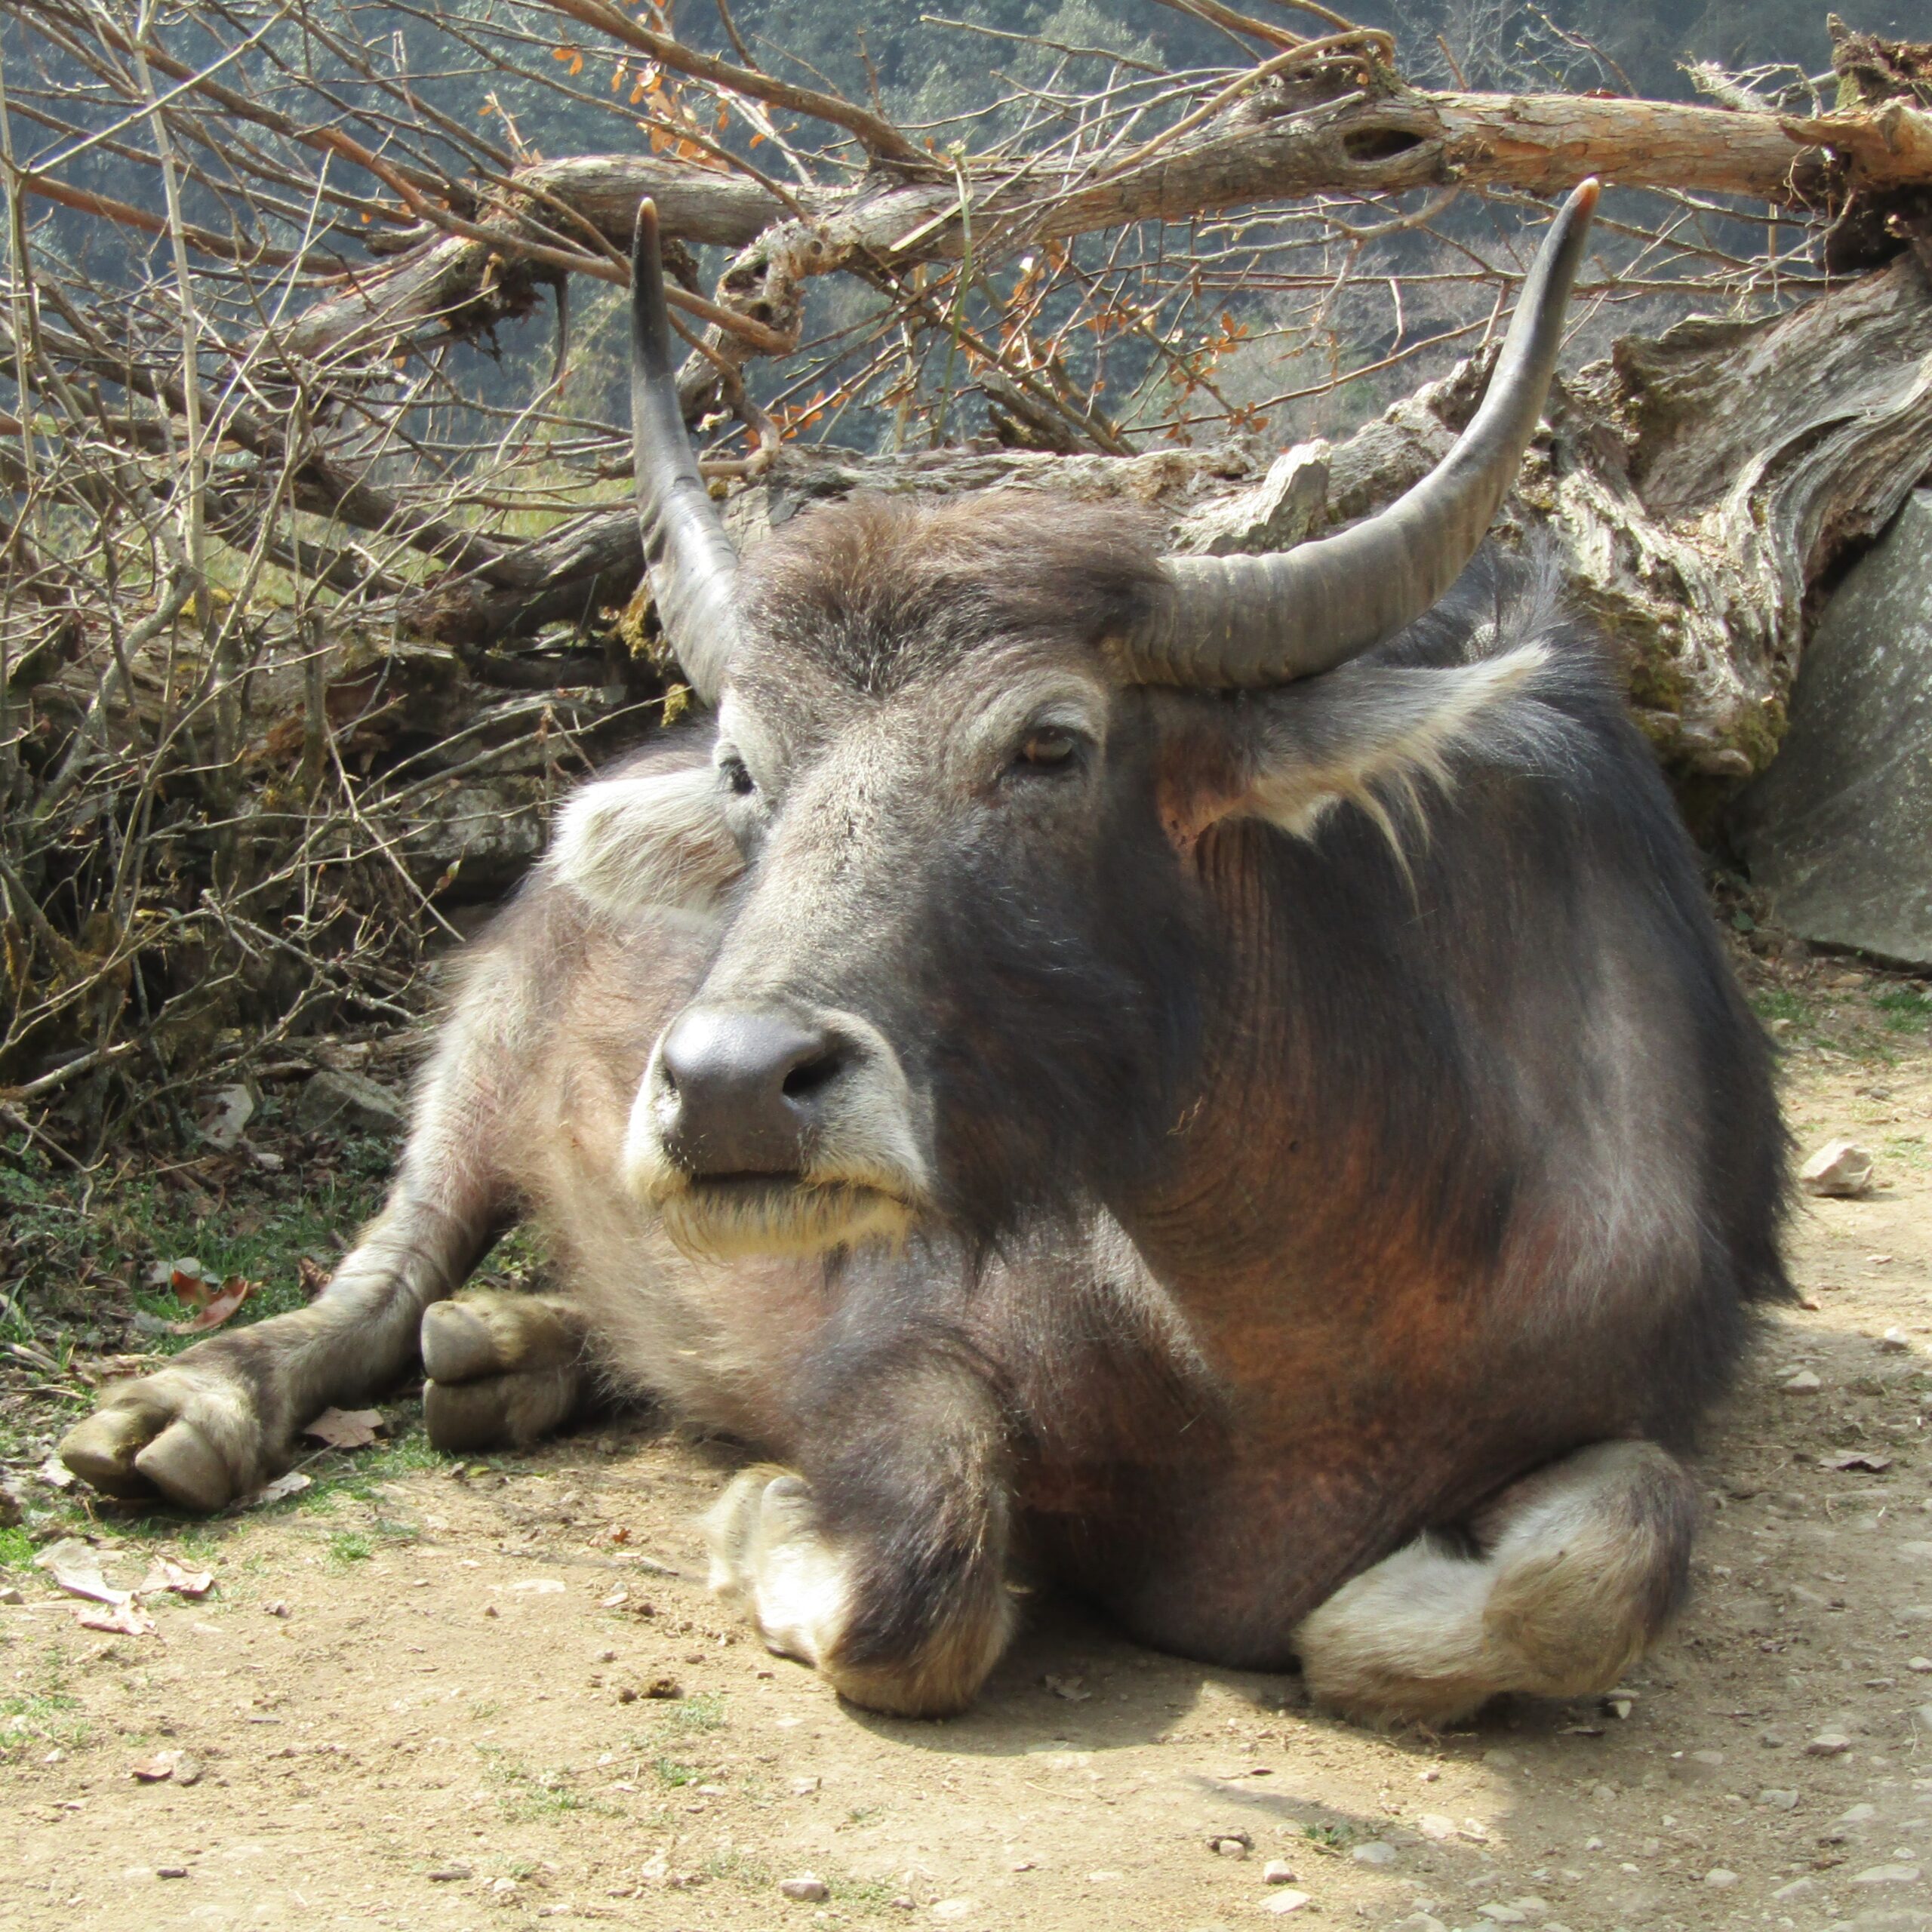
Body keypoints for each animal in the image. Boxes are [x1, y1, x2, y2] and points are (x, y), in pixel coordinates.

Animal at [60, 181, 1785, 1723]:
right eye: (746, 767)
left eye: (1050, 743)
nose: (731, 1089)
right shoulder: (893, 1335)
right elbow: (919, 1571)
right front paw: (762, 1517)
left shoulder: (1648, 1386)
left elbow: (1614, 1553)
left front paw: (1386, 1619)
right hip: (476, 1058)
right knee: (384, 1269)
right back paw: (193, 1404)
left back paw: (507, 1350)